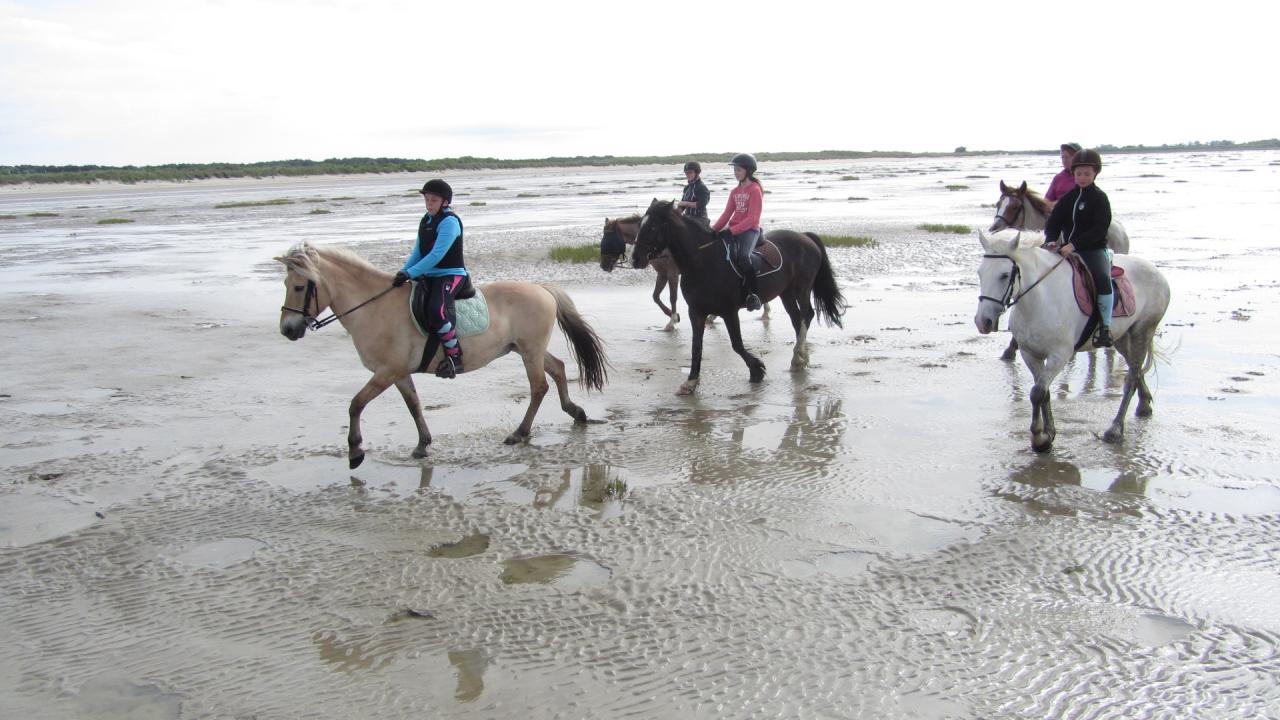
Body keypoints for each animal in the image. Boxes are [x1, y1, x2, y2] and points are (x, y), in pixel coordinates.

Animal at [273, 240, 609, 466]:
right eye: (287, 284)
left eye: (300, 287)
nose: (288, 329)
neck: (375, 308)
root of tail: (542, 288)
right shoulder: (399, 373)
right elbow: (414, 406)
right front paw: (422, 445)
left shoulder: (386, 372)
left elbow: (355, 405)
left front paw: (355, 452)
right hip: (525, 348)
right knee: (558, 368)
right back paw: (576, 413)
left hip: (529, 349)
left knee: (539, 386)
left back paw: (520, 432)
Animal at [632, 198, 849, 394]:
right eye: (640, 225)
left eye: (653, 227)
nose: (635, 258)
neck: (703, 262)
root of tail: (805, 237)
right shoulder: (696, 312)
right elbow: (696, 346)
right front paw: (691, 382)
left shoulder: (729, 312)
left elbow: (737, 344)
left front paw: (756, 370)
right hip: (786, 293)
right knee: (797, 319)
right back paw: (801, 358)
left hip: (801, 288)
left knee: (807, 315)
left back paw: (797, 358)